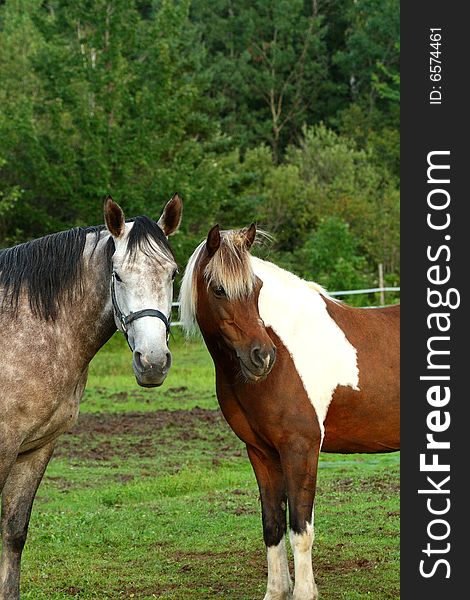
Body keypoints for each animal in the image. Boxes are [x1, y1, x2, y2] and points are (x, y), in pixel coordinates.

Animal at [178, 224, 398, 600]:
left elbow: (300, 528)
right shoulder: (261, 453)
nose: (261, 356)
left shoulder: (300, 449)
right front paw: (277, 590)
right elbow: (273, 525)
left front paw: (304, 592)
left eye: (257, 288)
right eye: (219, 290)